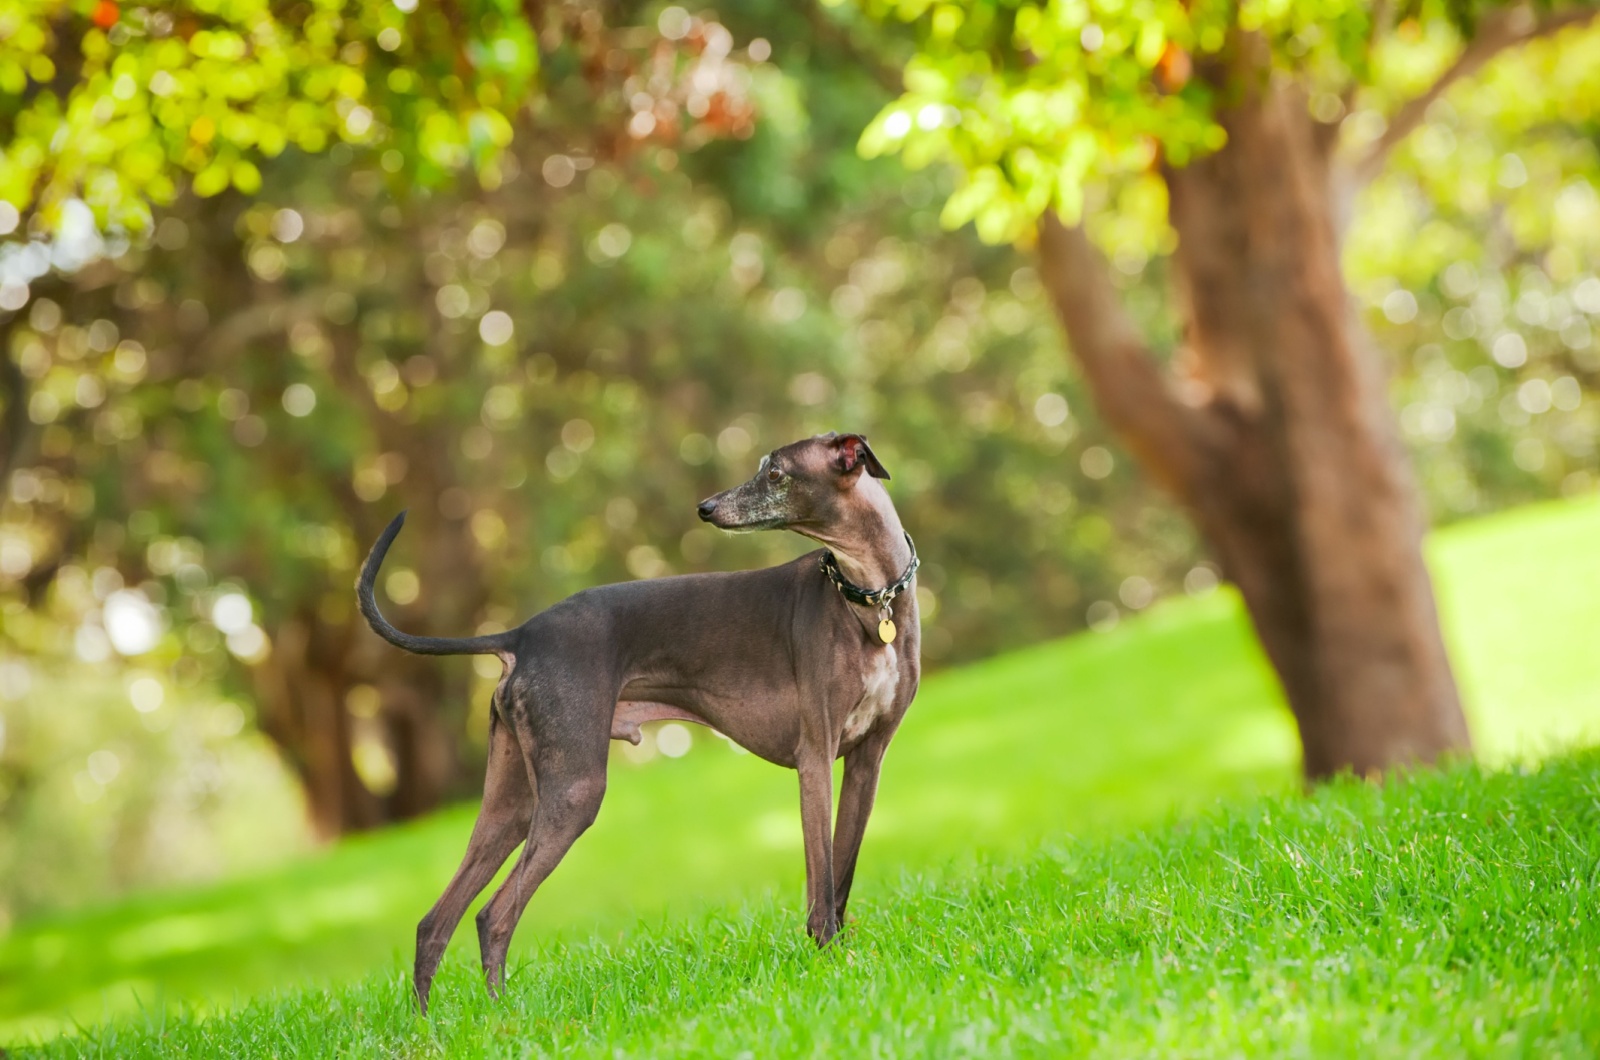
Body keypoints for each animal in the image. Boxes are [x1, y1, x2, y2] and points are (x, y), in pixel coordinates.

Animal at [356, 432, 921, 1011]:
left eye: (776, 473)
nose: (706, 507)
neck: (867, 597)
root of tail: (523, 635)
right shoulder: (815, 759)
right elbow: (822, 875)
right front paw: (827, 958)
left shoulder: (867, 761)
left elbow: (843, 871)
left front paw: (842, 958)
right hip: (574, 791)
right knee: (492, 915)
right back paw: (502, 1017)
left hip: (513, 804)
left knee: (434, 923)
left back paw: (435, 1023)